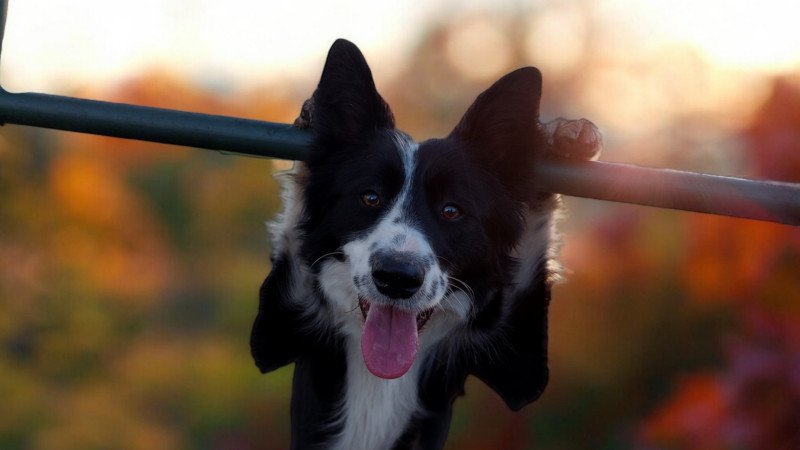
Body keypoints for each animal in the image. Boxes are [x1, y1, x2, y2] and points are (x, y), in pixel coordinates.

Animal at [250, 38, 600, 450]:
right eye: (370, 197)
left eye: (451, 210)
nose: (397, 278)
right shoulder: (278, 329)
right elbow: (296, 219)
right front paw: (311, 119)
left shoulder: (515, 364)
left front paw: (559, 138)